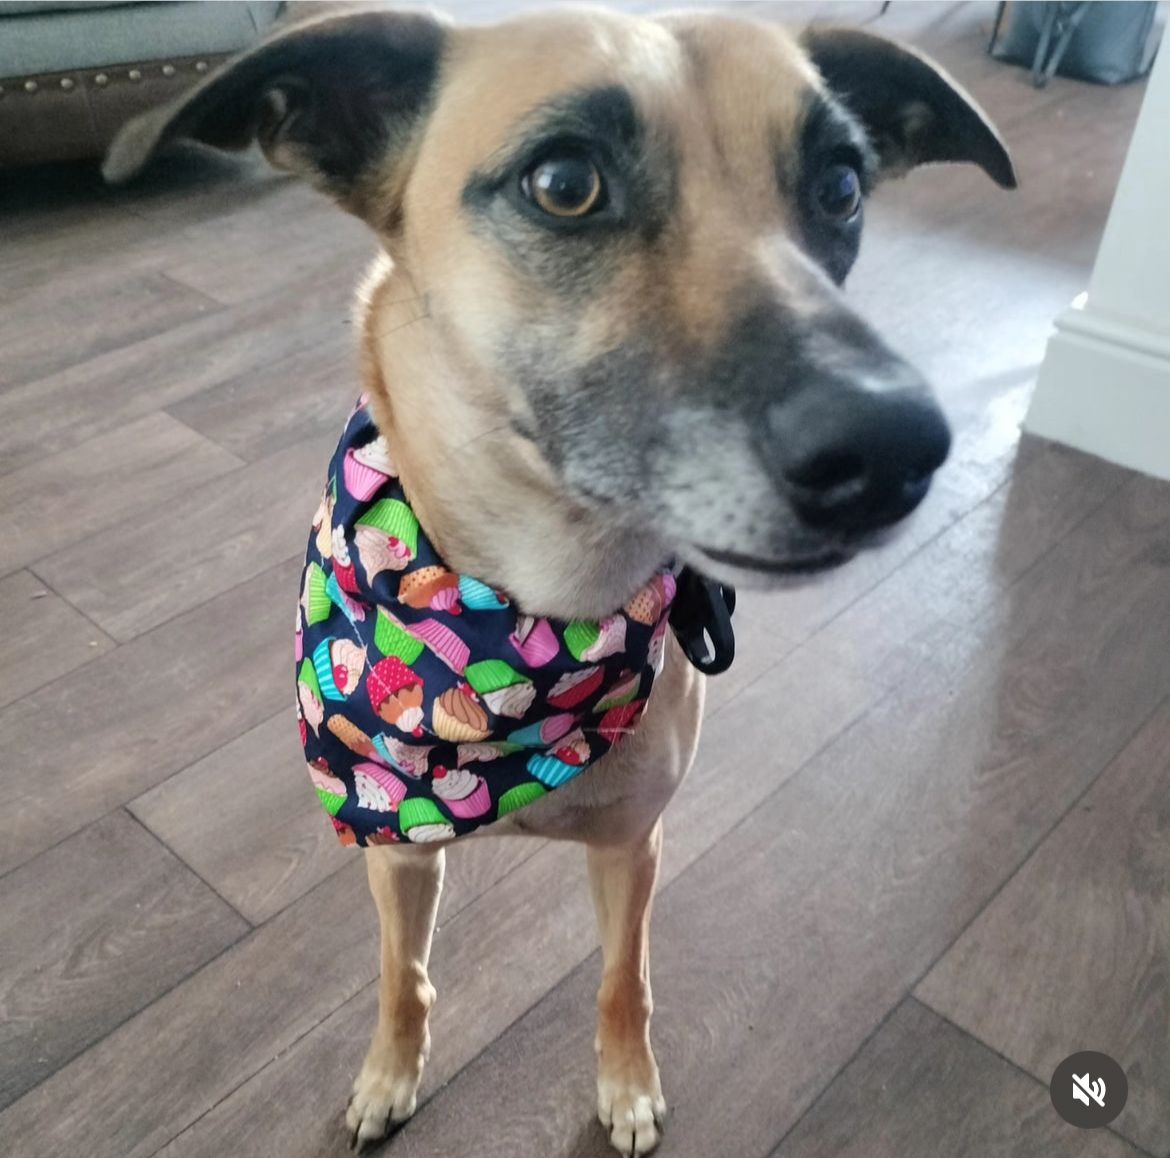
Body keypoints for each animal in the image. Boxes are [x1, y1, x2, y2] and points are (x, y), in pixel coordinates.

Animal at [105, 11, 1010, 1158]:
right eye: (566, 183)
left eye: (842, 187)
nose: (896, 448)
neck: (530, 620)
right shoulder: (394, 844)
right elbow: (401, 975)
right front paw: (387, 1074)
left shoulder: (634, 846)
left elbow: (623, 979)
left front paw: (624, 1084)